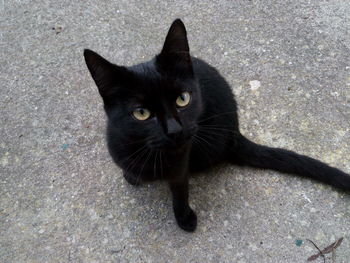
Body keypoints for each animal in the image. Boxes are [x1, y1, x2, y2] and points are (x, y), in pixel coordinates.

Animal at [84, 19, 350, 233]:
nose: (174, 130)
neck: (150, 155)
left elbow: (180, 189)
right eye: (141, 113)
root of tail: (235, 130)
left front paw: (184, 217)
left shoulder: (182, 161)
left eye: (183, 99)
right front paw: (132, 175)